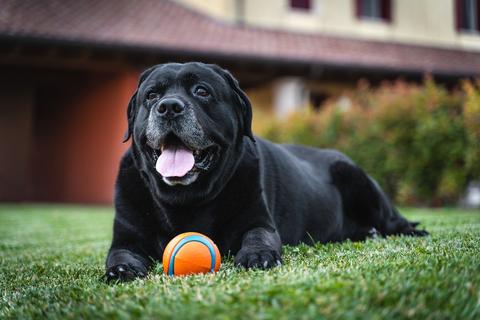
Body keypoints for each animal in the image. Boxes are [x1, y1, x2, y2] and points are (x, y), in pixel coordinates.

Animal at [106, 61, 428, 282]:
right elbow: (120, 251)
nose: (169, 106)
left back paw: (409, 231)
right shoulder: (127, 236)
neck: (186, 200)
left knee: (393, 220)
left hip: (358, 180)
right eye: (152, 95)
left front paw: (257, 256)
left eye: (202, 91)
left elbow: (258, 236)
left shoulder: (259, 221)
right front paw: (121, 269)